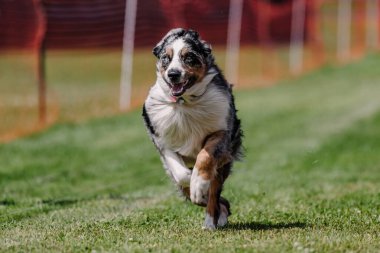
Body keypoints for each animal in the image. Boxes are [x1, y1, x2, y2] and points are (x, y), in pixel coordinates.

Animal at [142, 28, 243, 230]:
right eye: (166, 58)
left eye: (189, 57)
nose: (173, 74)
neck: (184, 103)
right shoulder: (162, 141)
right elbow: (181, 174)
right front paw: (191, 180)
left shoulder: (221, 132)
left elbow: (204, 157)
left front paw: (198, 185)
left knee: (214, 193)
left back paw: (212, 220)